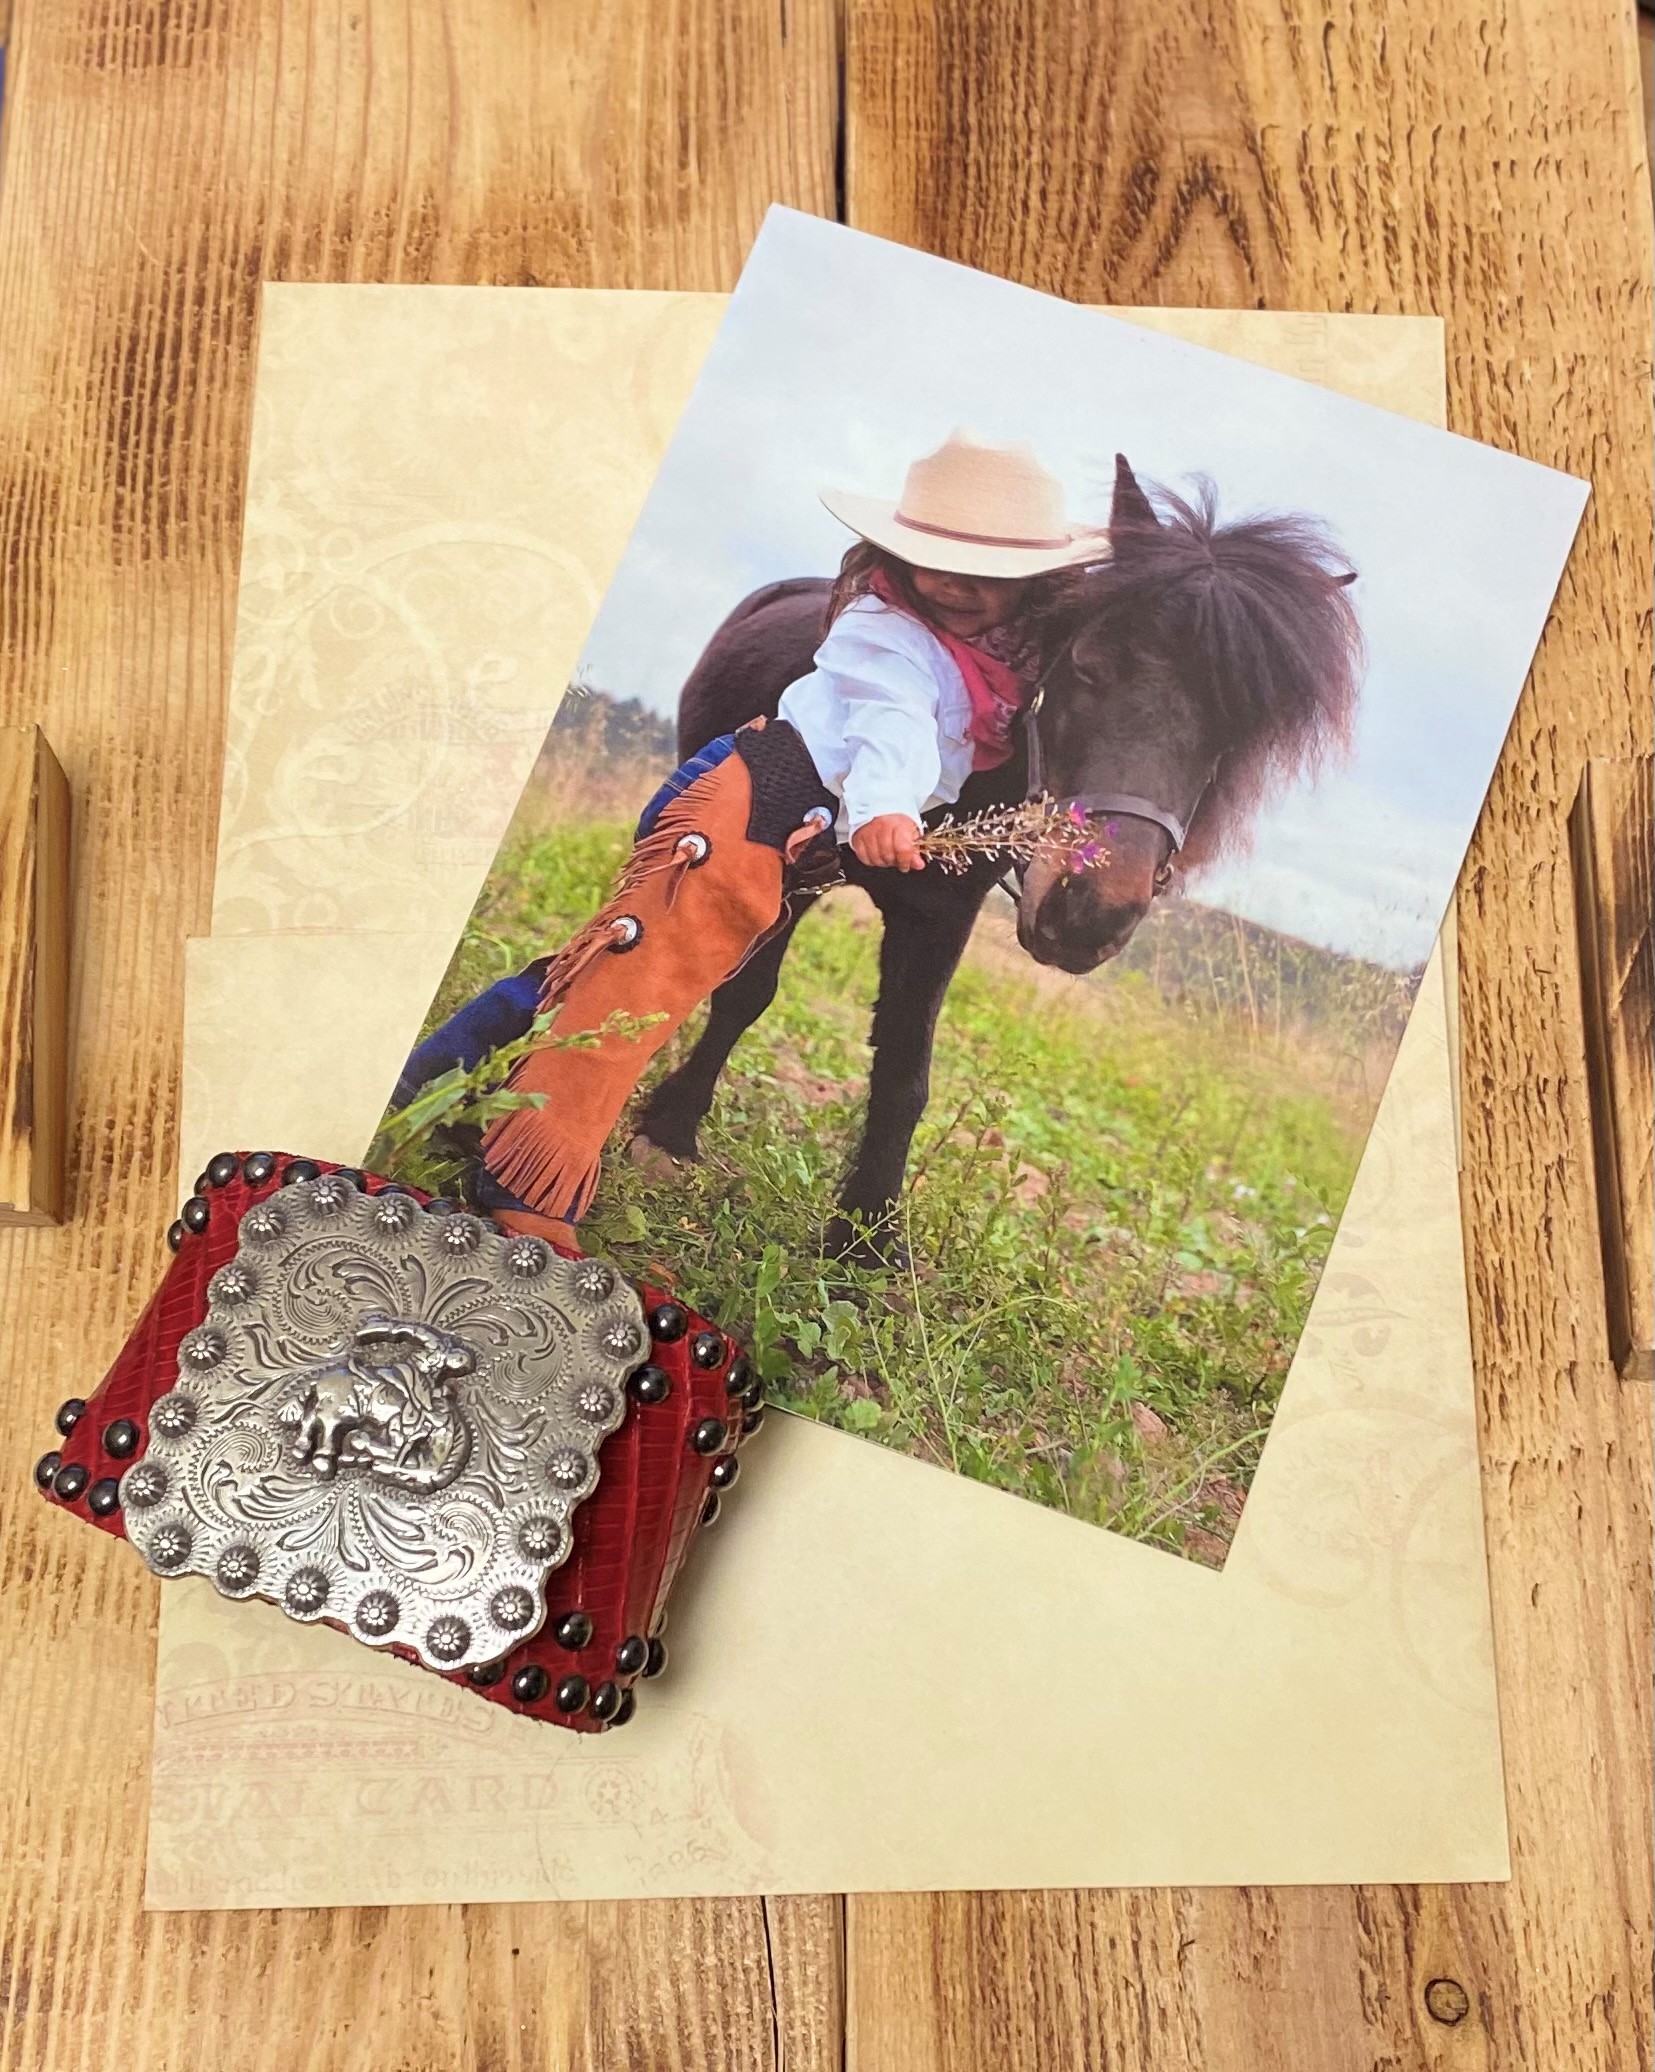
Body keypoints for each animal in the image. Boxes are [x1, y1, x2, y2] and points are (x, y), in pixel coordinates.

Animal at [633, 455, 1358, 1251]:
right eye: (1088, 669)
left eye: (1234, 730)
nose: (1090, 914)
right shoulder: (788, 872)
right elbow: (743, 994)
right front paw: (670, 1127)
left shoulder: (940, 917)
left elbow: (905, 1072)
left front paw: (868, 1235)